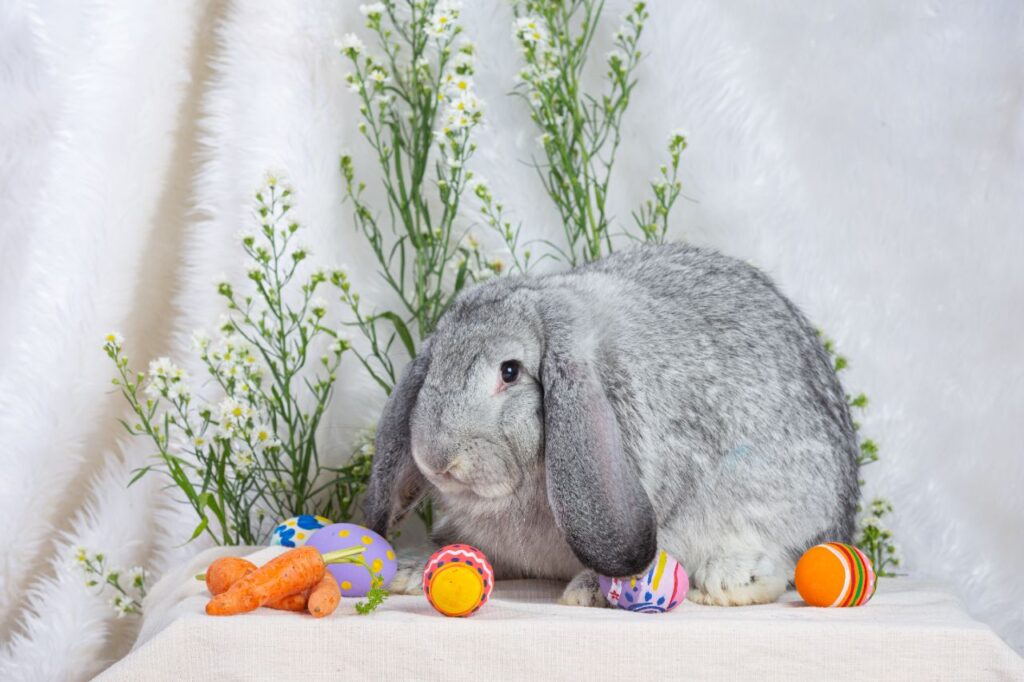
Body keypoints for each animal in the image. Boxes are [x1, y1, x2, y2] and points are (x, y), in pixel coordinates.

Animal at [362, 243, 860, 607]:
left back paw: (729, 581)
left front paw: (587, 591)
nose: (437, 458)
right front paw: (411, 572)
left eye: (510, 371)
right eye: (433, 367)